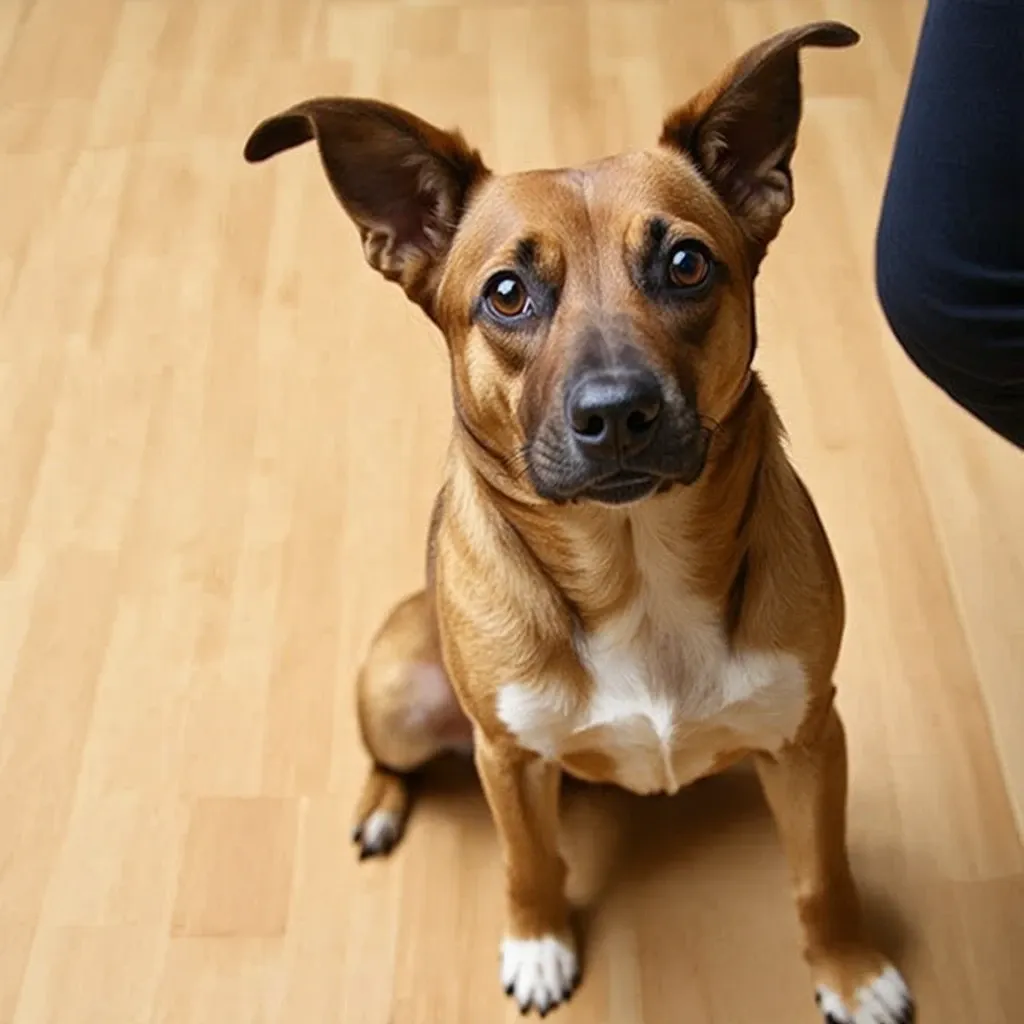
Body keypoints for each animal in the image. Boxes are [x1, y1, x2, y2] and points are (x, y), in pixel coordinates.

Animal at [245, 18, 913, 1024]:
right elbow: (529, 862)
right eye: (507, 292)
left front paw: (849, 969)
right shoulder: (510, 760)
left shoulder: (808, 739)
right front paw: (539, 944)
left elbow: (821, 876)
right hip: (398, 686)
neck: (634, 562)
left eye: (685, 264)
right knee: (395, 758)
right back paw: (381, 806)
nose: (617, 412)